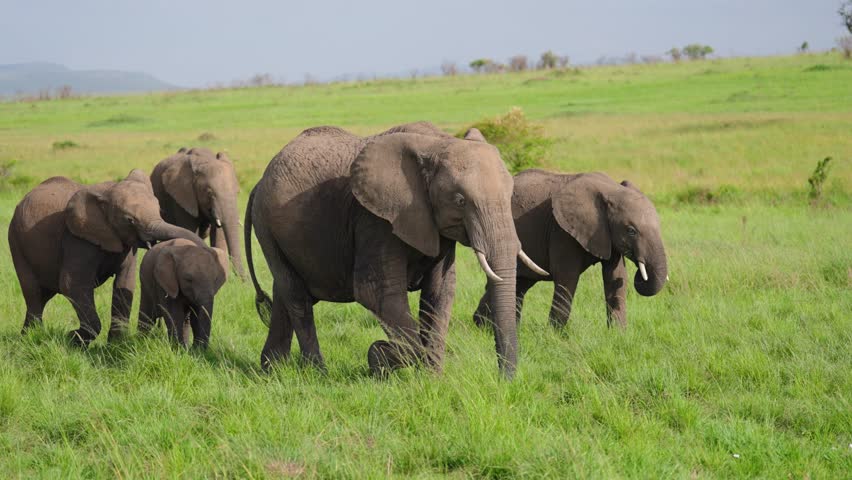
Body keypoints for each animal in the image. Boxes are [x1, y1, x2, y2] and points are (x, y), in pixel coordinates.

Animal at [8, 170, 205, 345]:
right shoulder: (77, 239)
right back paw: (32, 338)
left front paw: (116, 346)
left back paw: (26, 336)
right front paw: (72, 339)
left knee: (43, 296)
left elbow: (125, 283)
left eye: (159, 209)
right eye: (129, 220)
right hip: (16, 241)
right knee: (33, 292)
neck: (107, 193)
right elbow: (72, 284)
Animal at [151, 147, 245, 278]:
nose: (244, 281)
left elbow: (218, 234)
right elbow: (190, 232)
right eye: (209, 193)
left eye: (237, 192)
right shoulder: (182, 196)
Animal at [245, 122, 547, 378]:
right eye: (460, 201)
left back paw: (272, 371)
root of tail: (258, 183)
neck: (437, 142)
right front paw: (379, 355)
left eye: (510, 196)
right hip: (266, 227)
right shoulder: (375, 219)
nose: (505, 381)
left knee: (283, 292)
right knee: (296, 296)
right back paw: (318, 373)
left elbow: (440, 293)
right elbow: (376, 293)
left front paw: (434, 380)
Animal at [474, 169, 668, 329]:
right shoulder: (562, 231)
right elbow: (567, 276)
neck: (610, 190)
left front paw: (618, 335)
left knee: (520, 284)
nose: (641, 273)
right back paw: (485, 328)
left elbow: (615, 276)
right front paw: (556, 336)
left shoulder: (608, 236)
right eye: (631, 231)